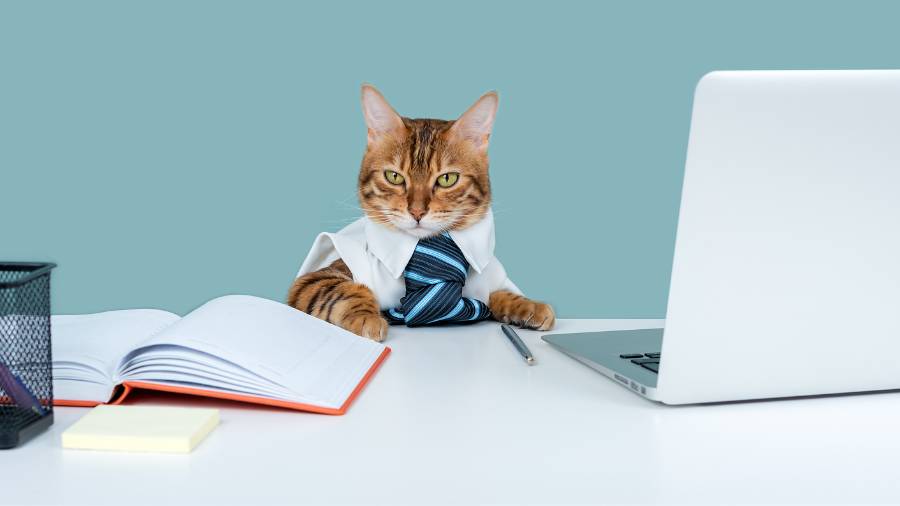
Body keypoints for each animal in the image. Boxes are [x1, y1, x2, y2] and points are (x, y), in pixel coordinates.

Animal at [288, 85, 556, 342]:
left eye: (447, 179)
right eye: (394, 177)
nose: (417, 211)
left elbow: (497, 293)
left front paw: (526, 304)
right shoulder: (313, 279)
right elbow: (347, 291)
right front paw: (366, 316)